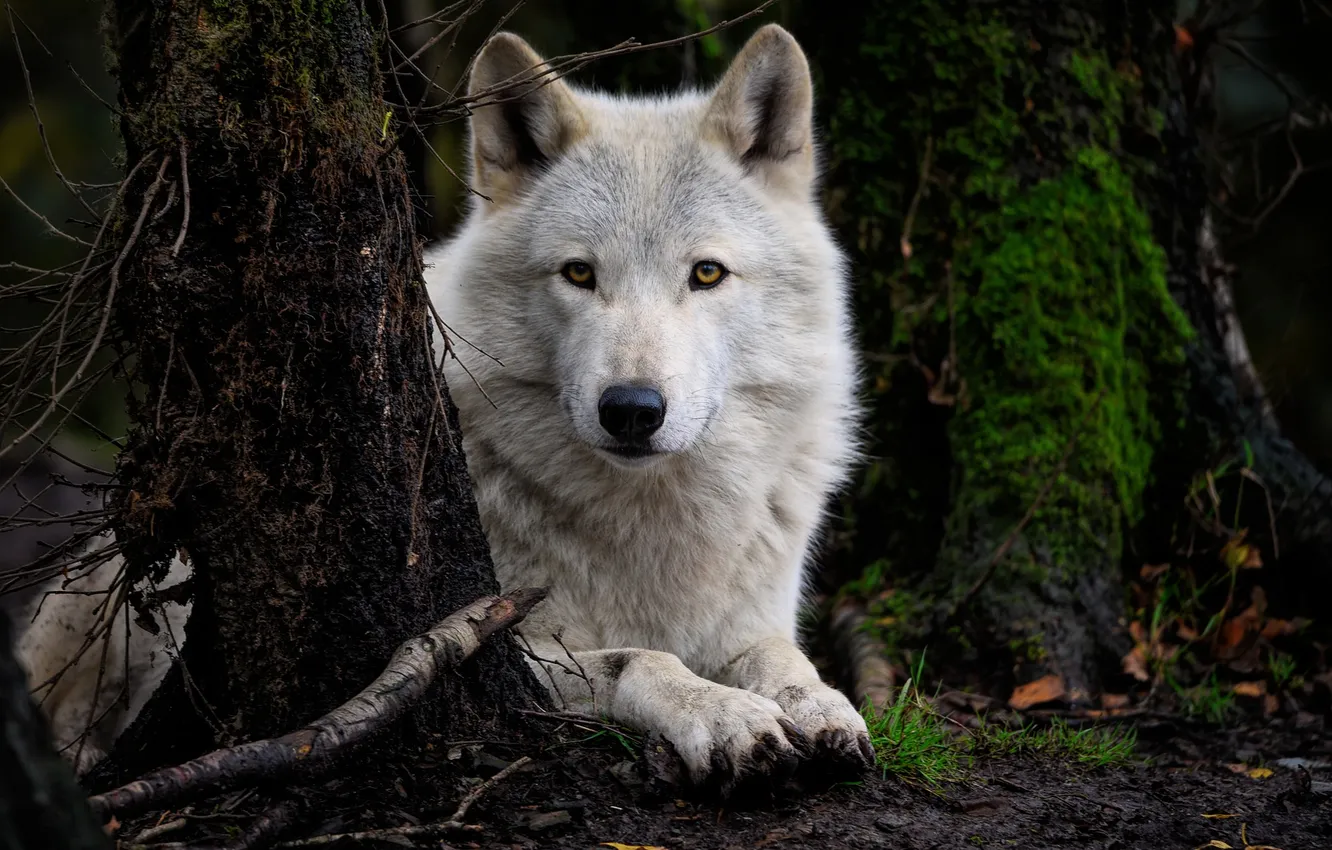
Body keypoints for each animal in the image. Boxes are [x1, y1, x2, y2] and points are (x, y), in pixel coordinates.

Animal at [425, 23, 872, 787]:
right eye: (579, 273)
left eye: (707, 273)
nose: (632, 409)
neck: (654, 525)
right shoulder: (515, 646)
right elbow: (645, 658)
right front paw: (726, 715)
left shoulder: (755, 622)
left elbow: (783, 659)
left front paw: (821, 704)